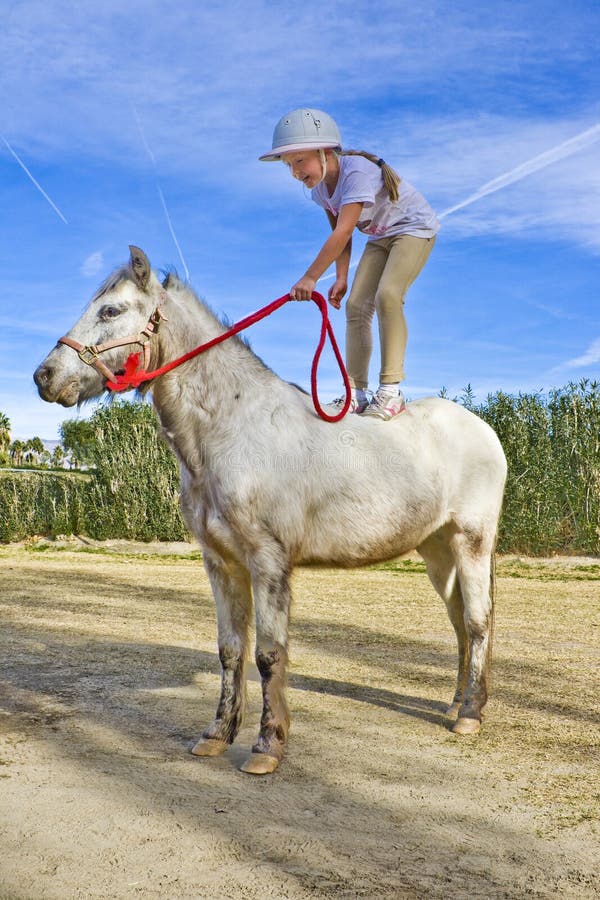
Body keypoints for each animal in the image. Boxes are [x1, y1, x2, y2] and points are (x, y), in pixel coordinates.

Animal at [34, 244, 506, 772]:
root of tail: (483, 429)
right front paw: (217, 735)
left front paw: (267, 746)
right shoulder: (221, 563)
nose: (44, 377)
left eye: (110, 311)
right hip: (437, 552)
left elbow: (268, 654)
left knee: (478, 621)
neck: (231, 429)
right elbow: (230, 650)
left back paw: (470, 715)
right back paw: (455, 703)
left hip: (471, 543)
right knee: (459, 623)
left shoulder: (268, 561)